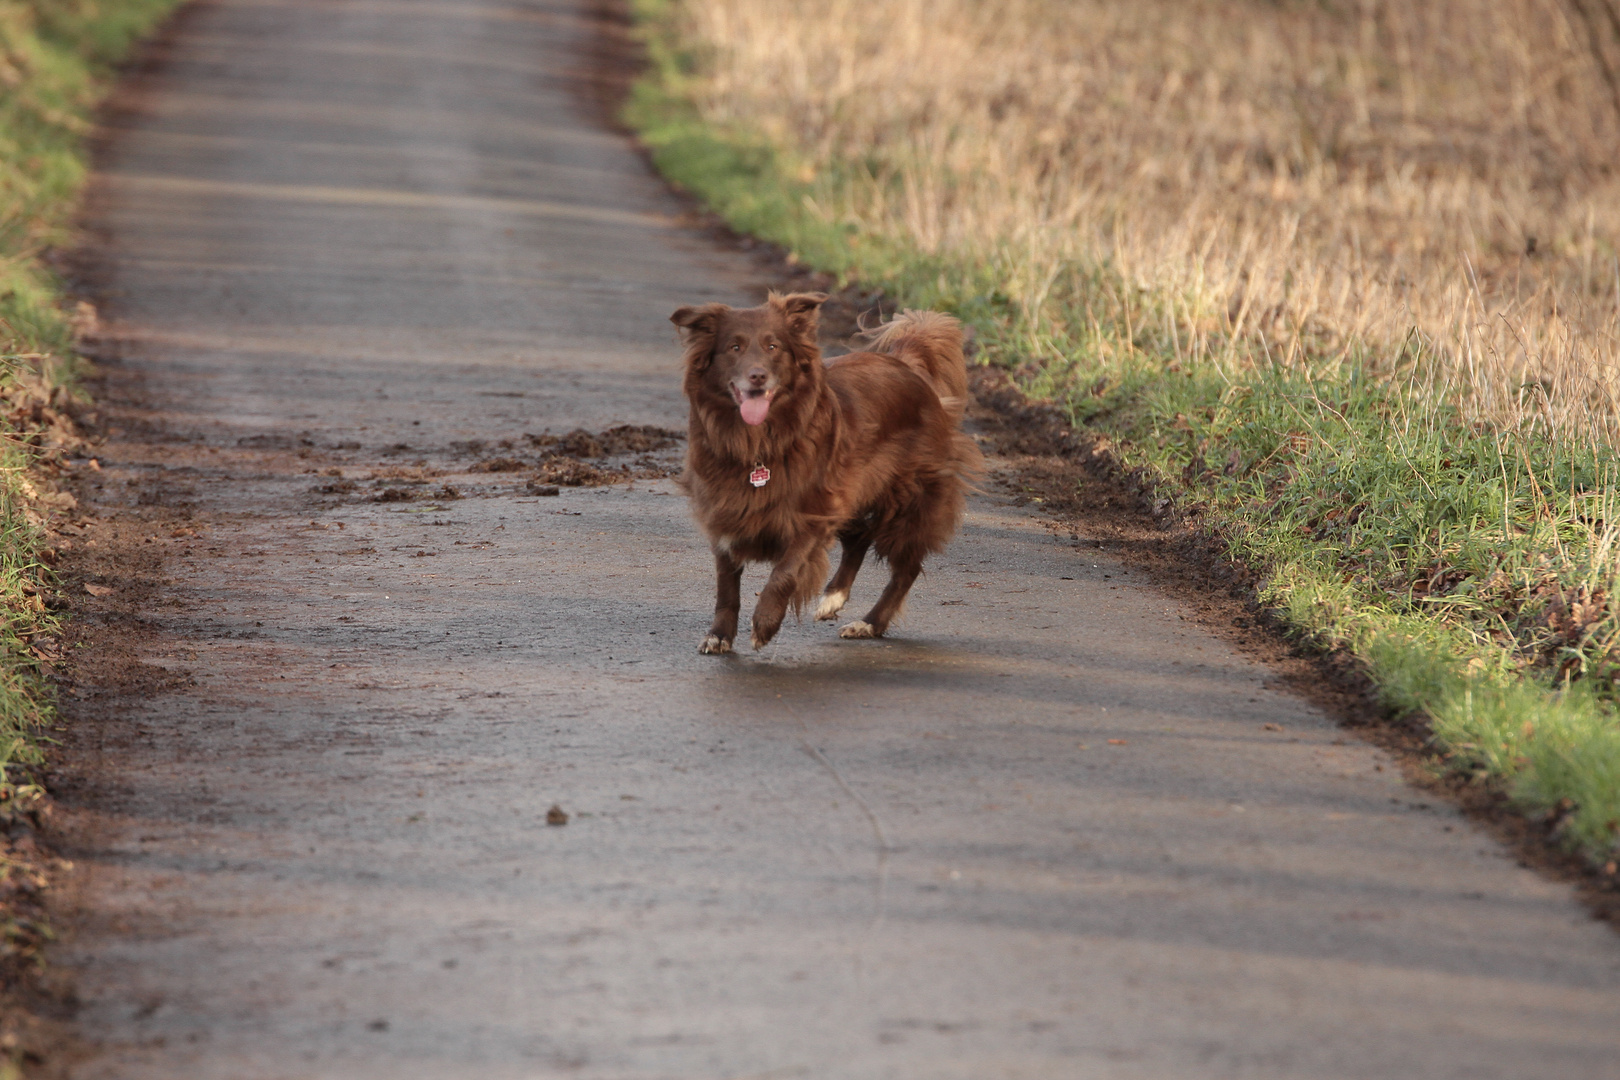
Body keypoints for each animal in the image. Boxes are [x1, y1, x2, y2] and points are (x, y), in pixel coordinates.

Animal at [667, 291, 978, 654]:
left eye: (773, 347)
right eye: (734, 347)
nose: (757, 376)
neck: (758, 442)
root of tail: (905, 364)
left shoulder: (815, 510)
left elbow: (786, 571)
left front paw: (765, 623)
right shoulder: (725, 510)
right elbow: (726, 584)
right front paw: (719, 635)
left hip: (908, 499)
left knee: (906, 567)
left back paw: (870, 623)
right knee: (860, 537)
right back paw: (834, 598)